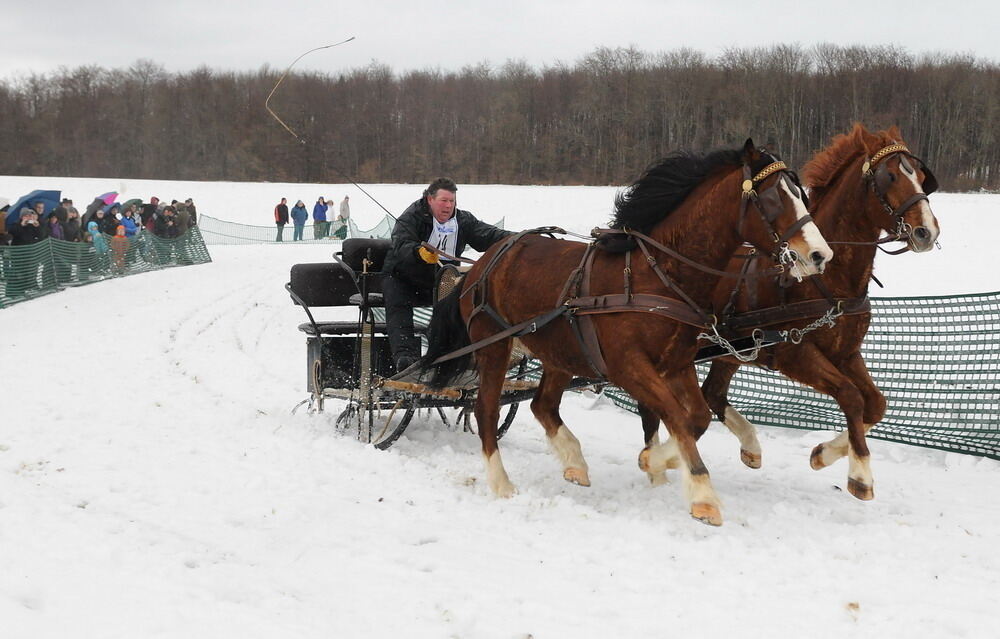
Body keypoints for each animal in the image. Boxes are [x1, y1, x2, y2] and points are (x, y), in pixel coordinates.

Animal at [424, 140, 836, 524]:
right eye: (772, 198)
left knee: (543, 404)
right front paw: (701, 494)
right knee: (486, 409)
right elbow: (679, 418)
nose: (820, 255)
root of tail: (479, 267)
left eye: (801, 194)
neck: (659, 275)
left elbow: (696, 419)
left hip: (561, 350)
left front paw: (654, 460)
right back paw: (501, 481)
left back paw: (574, 460)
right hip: (494, 345)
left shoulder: (677, 363)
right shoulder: (629, 368)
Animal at [640, 125, 936, 502]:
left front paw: (824, 453)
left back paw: (744, 446)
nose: (927, 231)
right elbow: (851, 396)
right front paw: (860, 474)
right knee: (658, 406)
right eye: (891, 176)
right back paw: (658, 466)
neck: (829, 279)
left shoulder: (846, 353)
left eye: (922, 177)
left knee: (712, 395)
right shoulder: (795, 354)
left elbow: (875, 403)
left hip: (729, 352)